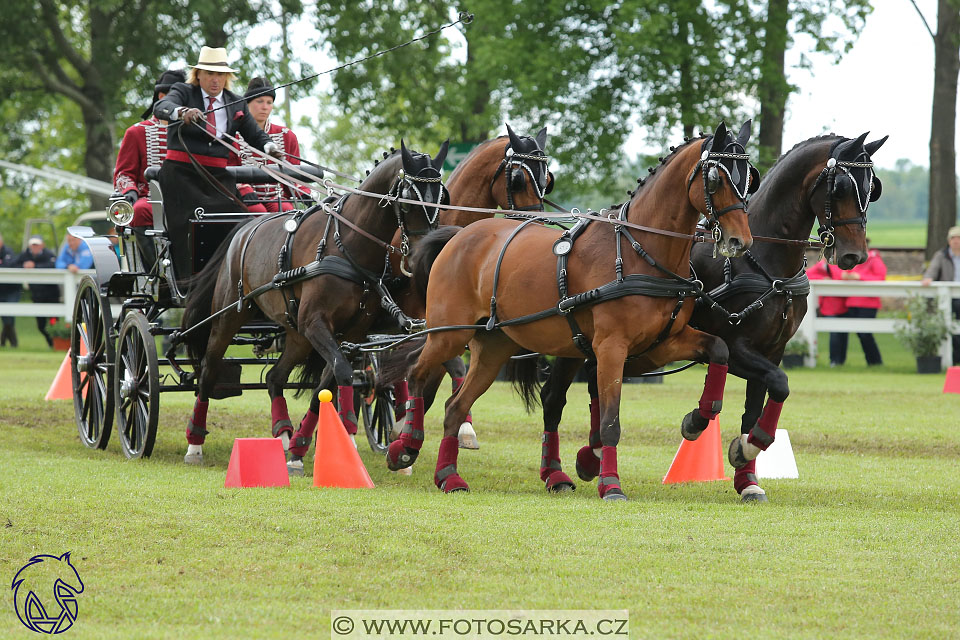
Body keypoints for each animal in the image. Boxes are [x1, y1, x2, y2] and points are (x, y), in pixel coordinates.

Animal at [180, 140, 450, 464]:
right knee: (208, 371)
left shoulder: (348, 334)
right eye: (409, 198)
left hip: (296, 334)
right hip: (229, 315)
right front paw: (344, 436)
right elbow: (342, 374)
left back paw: (284, 435)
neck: (347, 246)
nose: (423, 254)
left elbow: (327, 384)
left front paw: (300, 446)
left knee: (275, 377)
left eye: (443, 198)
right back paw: (194, 444)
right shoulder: (316, 323)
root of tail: (244, 227)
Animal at [382, 120, 756, 500]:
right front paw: (610, 484)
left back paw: (449, 476)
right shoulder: (611, 348)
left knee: (455, 407)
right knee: (417, 375)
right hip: (448, 334)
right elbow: (609, 421)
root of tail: (459, 234)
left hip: (493, 348)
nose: (740, 241)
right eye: (715, 179)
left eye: (749, 179)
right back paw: (406, 447)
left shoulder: (663, 344)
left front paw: (697, 419)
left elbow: (719, 350)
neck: (639, 251)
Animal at [540, 131, 884, 500]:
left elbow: (759, 404)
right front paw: (724, 435)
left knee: (594, 380)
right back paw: (556, 473)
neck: (766, 265)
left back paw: (591, 456)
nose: (854, 255)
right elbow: (779, 382)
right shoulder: (738, 347)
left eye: (872, 188)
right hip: (576, 344)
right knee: (554, 398)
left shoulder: (771, 351)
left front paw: (747, 473)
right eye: (841, 188)